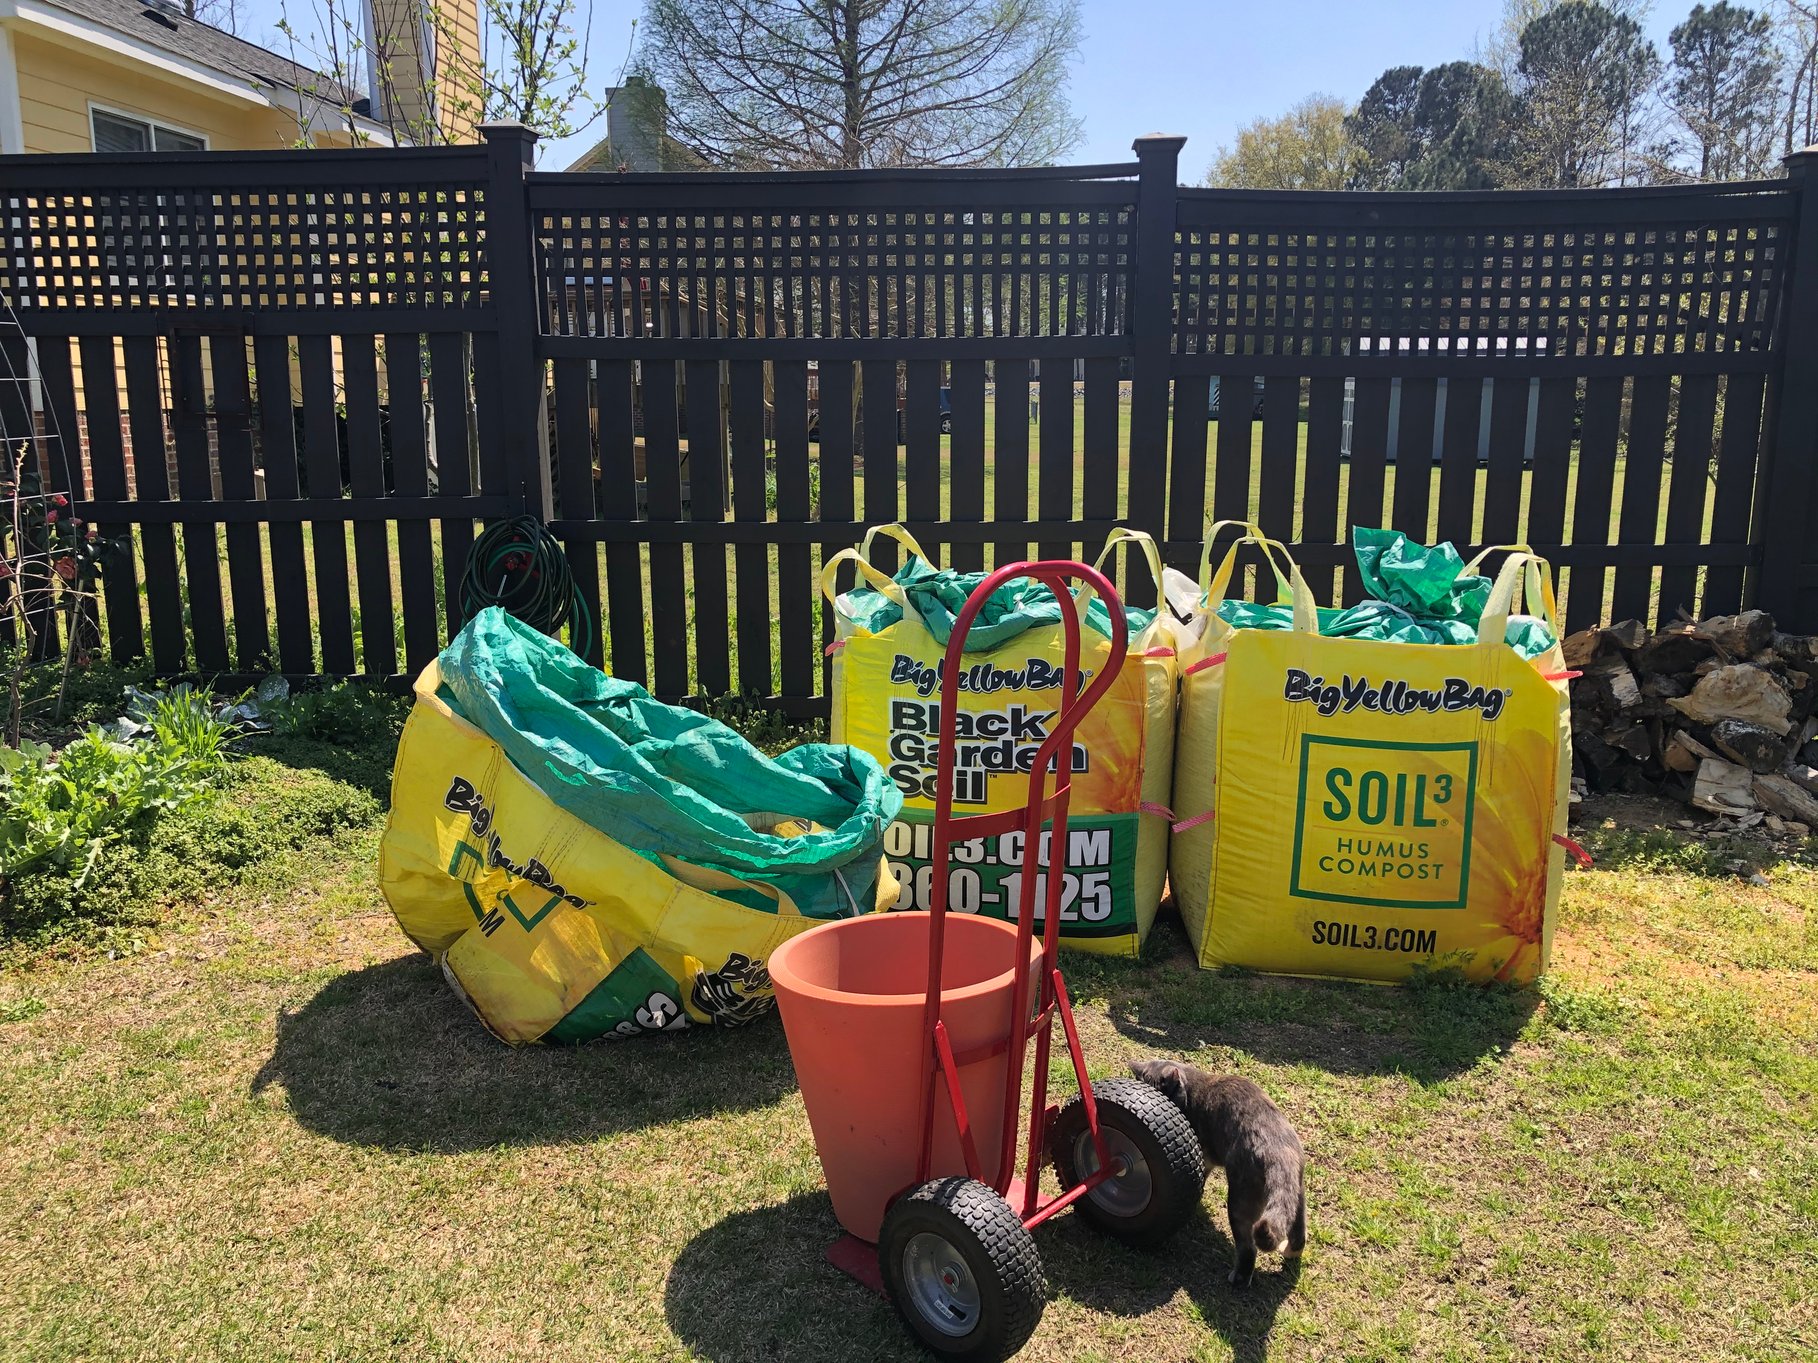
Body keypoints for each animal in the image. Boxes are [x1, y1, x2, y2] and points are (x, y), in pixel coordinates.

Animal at [1127, 1054, 1301, 1293]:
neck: (1193, 1087)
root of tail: (1278, 1153)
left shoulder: (1204, 1153)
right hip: (1296, 1193)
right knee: (1299, 1230)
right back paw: (1291, 1251)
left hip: (1241, 1198)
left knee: (1248, 1246)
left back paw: (1239, 1278)